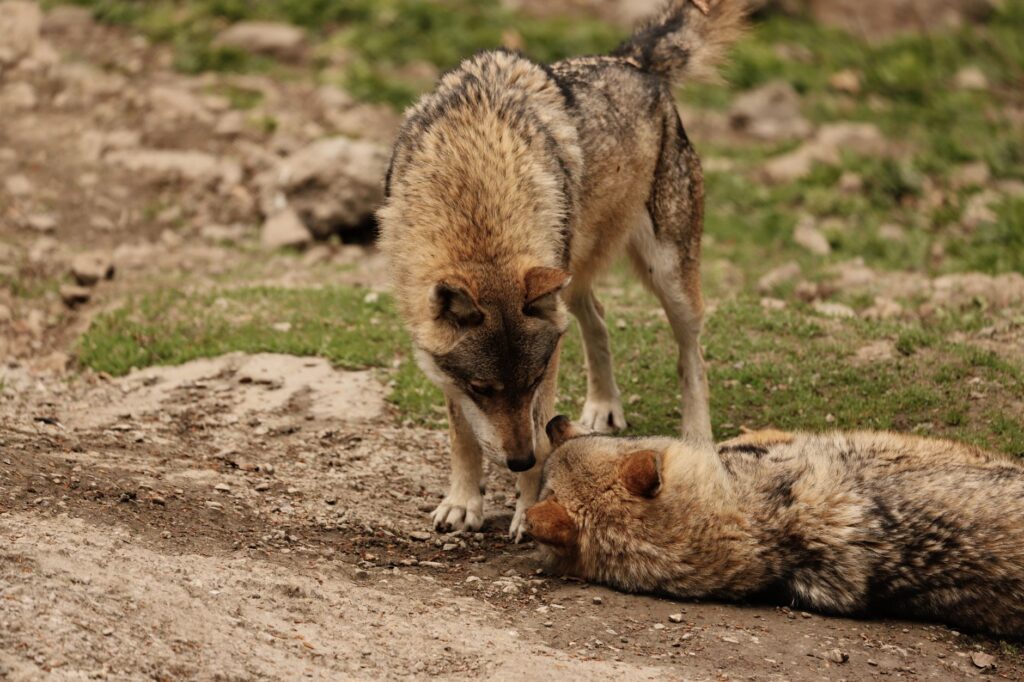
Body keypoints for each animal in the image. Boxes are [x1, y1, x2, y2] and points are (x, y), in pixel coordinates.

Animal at [378, 0, 745, 540]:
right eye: (483, 389)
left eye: (530, 382)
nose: (518, 459)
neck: (474, 197)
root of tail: (632, 60)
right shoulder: (451, 367)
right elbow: (463, 436)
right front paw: (463, 502)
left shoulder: (546, 362)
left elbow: (541, 430)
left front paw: (527, 508)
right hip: (568, 279)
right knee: (598, 318)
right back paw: (603, 408)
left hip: (667, 275)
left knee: (691, 356)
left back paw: (695, 435)